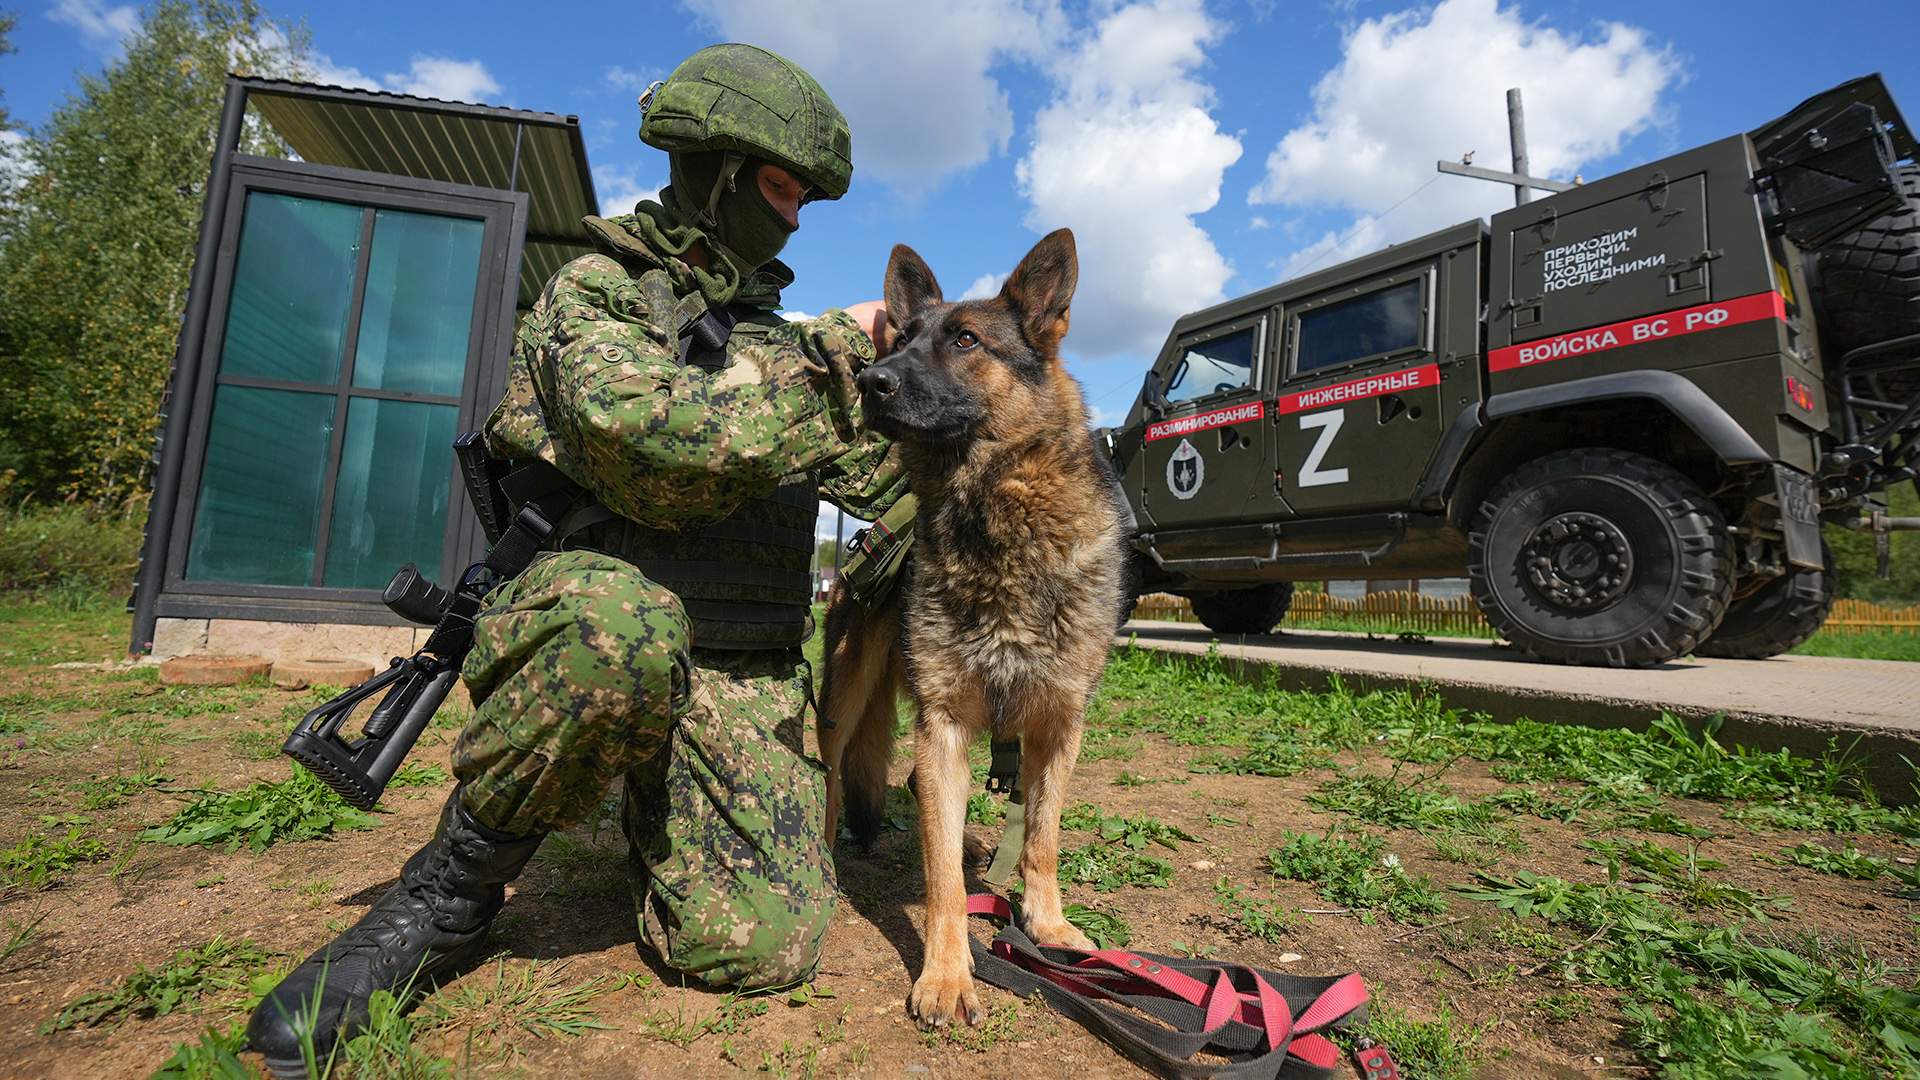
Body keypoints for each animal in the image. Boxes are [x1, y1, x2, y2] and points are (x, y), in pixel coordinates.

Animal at [821, 228, 1121, 1022]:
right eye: (901, 339)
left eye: (964, 340)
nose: (870, 379)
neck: (993, 517)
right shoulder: (943, 727)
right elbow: (944, 884)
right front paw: (949, 973)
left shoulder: (1057, 725)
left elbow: (1042, 837)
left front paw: (1046, 926)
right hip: (844, 701)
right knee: (829, 778)